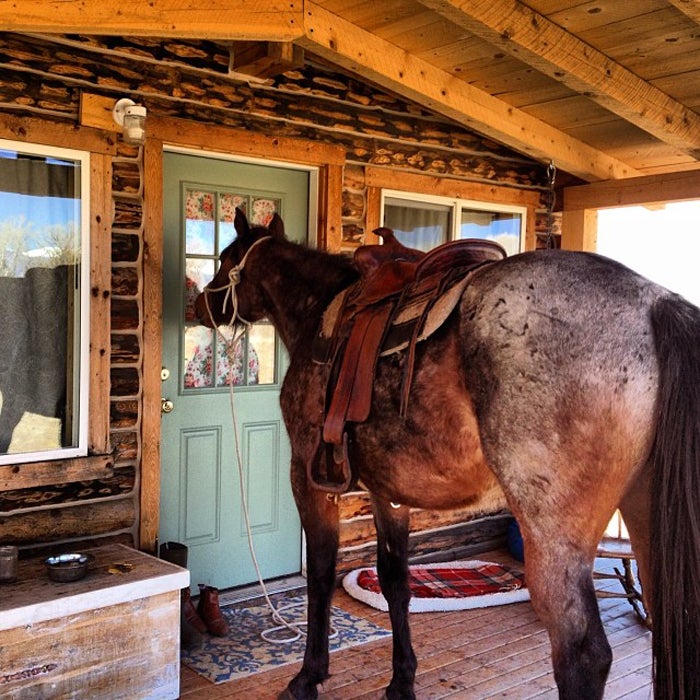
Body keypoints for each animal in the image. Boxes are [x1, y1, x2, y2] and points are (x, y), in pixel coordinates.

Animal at [194, 208, 700, 700]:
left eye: (225, 258)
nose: (198, 304)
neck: (319, 313)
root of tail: (656, 302)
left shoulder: (308, 476)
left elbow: (319, 574)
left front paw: (309, 676)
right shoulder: (388, 493)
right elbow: (395, 582)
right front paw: (402, 680)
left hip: (553, 532)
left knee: (583, 656)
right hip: (645, 517)